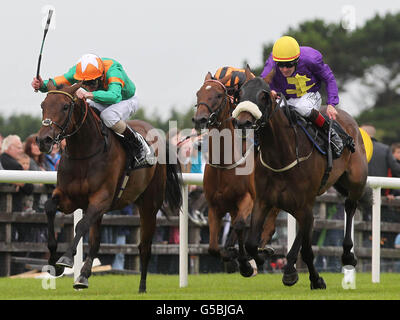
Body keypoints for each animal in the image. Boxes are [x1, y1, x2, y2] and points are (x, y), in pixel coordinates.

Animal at [36, 80, 183, 292]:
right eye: (43, 105)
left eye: (64, 107)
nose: (43, 140)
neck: (84, 153)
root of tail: (160, 137)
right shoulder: (68, 198)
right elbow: (49, 208)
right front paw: (54, 262)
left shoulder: (101, 199)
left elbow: (80, 225)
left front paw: (66, 258)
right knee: (96, 242)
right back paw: (83, 277)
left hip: (149, 205)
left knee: (145, 246)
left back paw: (142, 286)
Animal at [192, 72, 276, 276]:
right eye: (198, 93)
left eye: (218, 95)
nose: (200, 119)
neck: (225, 164)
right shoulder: (214, 207)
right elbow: (213, 248)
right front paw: (231, 255)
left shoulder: (248, 200)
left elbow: (240, 225)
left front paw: (246, 262)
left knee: (268, 225)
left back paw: (261, 251)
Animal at [233, 70, 370, 290]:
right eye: (240, 94)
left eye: (264, 96)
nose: (243, 122)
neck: (281, 155)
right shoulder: (263, 201)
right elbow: (251, 243)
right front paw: (260, 258)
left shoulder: (303, 203)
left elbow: (307, 251)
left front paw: (316, 279)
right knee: (305, 226)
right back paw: (289, 270)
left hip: (355, 180)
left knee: (350, 206)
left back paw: (348, 255)